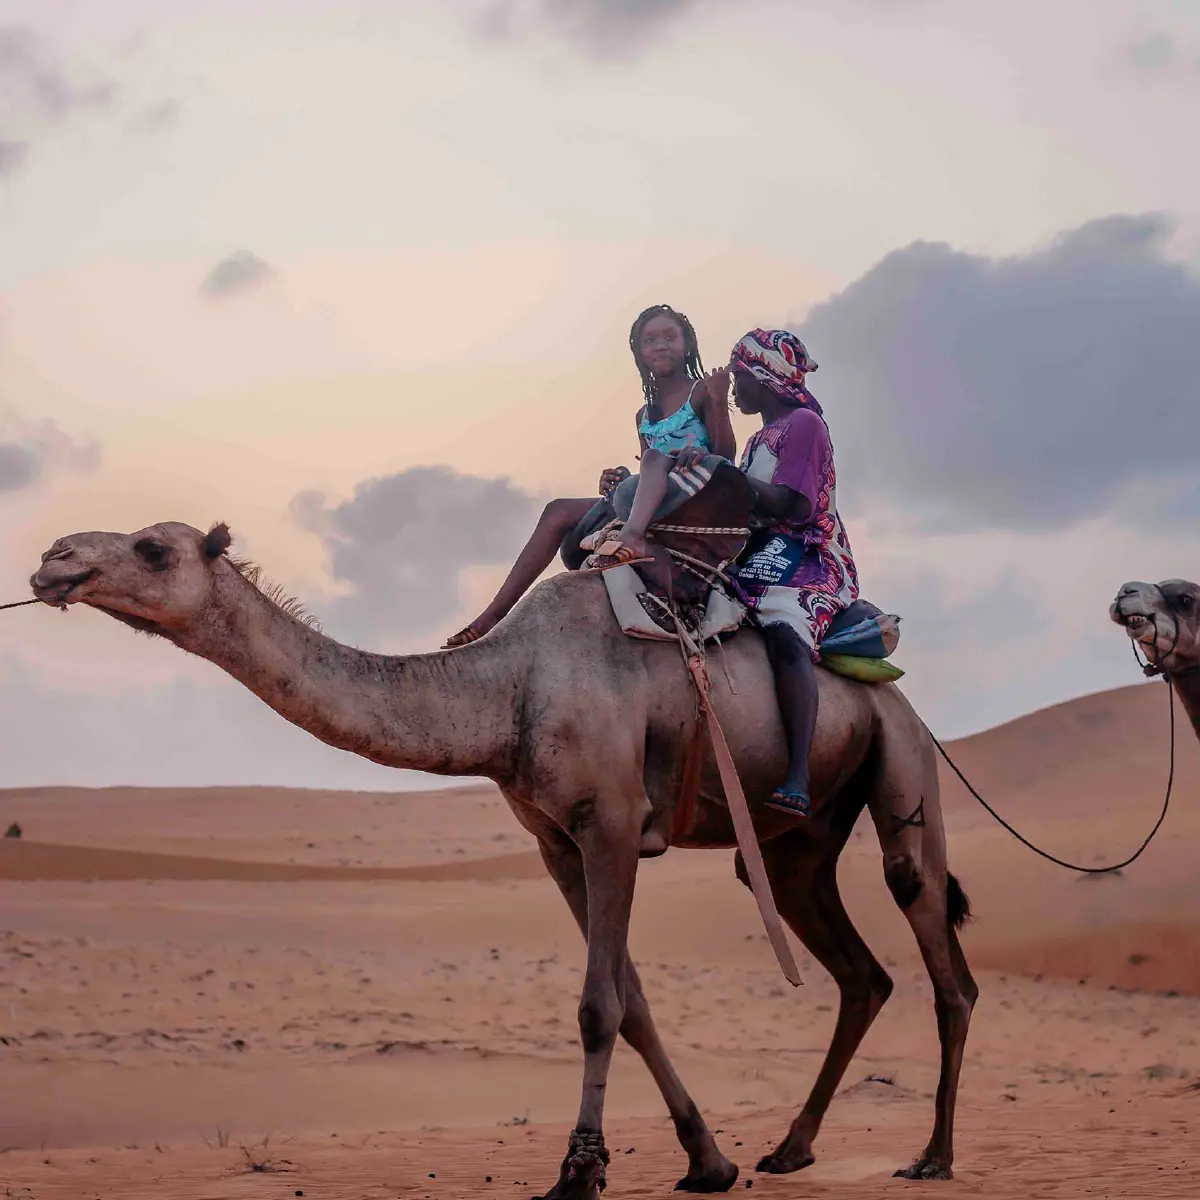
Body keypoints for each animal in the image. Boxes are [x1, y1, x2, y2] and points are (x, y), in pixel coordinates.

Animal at [32, 520, 979, 1195]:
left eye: (153, 547)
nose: (51, 560)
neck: (506, 692)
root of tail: (897, 691)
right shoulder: (554, 840)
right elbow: (631, 1000)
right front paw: (709, 1162)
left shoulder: (612, 822)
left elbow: (598, 1005)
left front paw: (578, 1172)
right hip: (798, 840)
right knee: (855, 966)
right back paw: (790, 1149)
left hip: (900, 755)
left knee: (935, 942)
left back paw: (933, 1156)